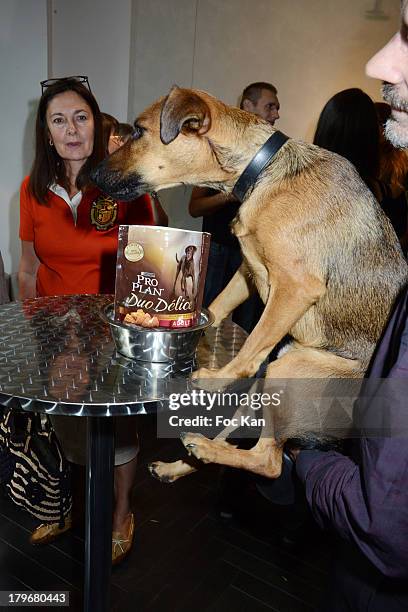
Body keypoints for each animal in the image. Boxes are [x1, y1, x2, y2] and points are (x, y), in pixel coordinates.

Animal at [92, 86, 408, 480]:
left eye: (138, 130)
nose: (91, 174)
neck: (264, 170)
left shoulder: (294, 287)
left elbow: (252, 346)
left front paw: (216, 378)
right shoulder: (248, 268)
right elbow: (216, 307)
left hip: (288, 369)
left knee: (268, 462)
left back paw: (203, 446)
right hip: (267, 384)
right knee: (234, 441)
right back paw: (182, 461)